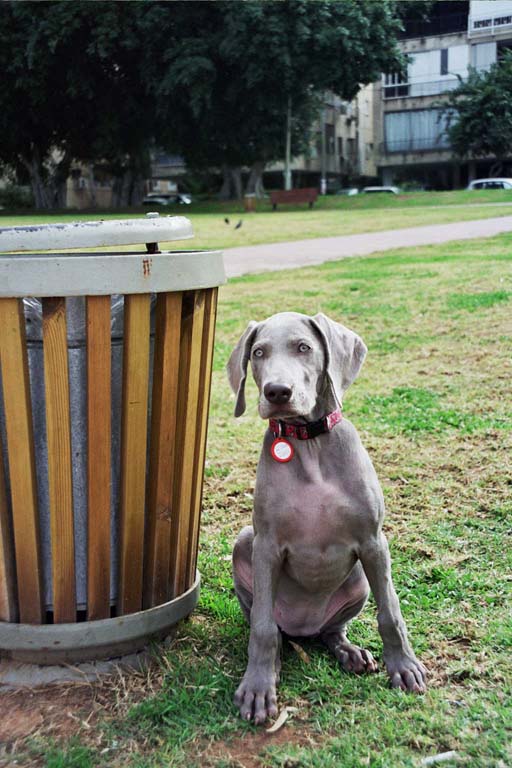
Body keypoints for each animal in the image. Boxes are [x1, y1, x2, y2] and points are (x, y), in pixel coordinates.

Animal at [226, 308, 426, 724]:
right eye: (258, 352)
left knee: (333, 632)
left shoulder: (374, 541)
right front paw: (257, 687)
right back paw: (276, 664)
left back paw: (350, 652)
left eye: (304, 347)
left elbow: (391, 612)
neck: (309, 443)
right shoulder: (266, 546)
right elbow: (262, 629)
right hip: (243, 543)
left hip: (359, 581)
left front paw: (403, 666)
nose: (277, 392)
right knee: (274, 630)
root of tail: (304, 628)